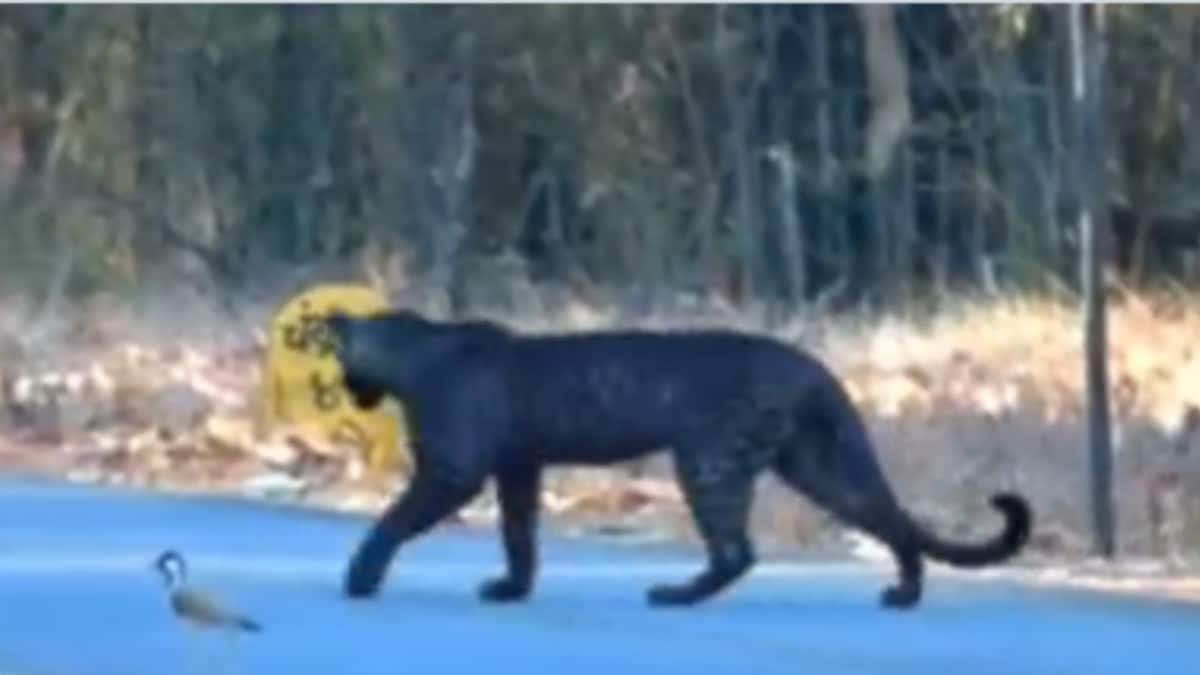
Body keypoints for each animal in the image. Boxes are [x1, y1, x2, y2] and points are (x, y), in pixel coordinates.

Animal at [326, 307, 1032, 607]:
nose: (346, 392)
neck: (411, 352)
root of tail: (810, 366)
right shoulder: (519, 467)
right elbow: (519, 533)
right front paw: (511, 589)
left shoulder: (453, 471)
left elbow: (394, 519)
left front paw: (360, 577)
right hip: (813, 463)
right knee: (887, 520)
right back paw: (903, 594)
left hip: (708, 461)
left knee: (736, 551)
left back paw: (674, 595)